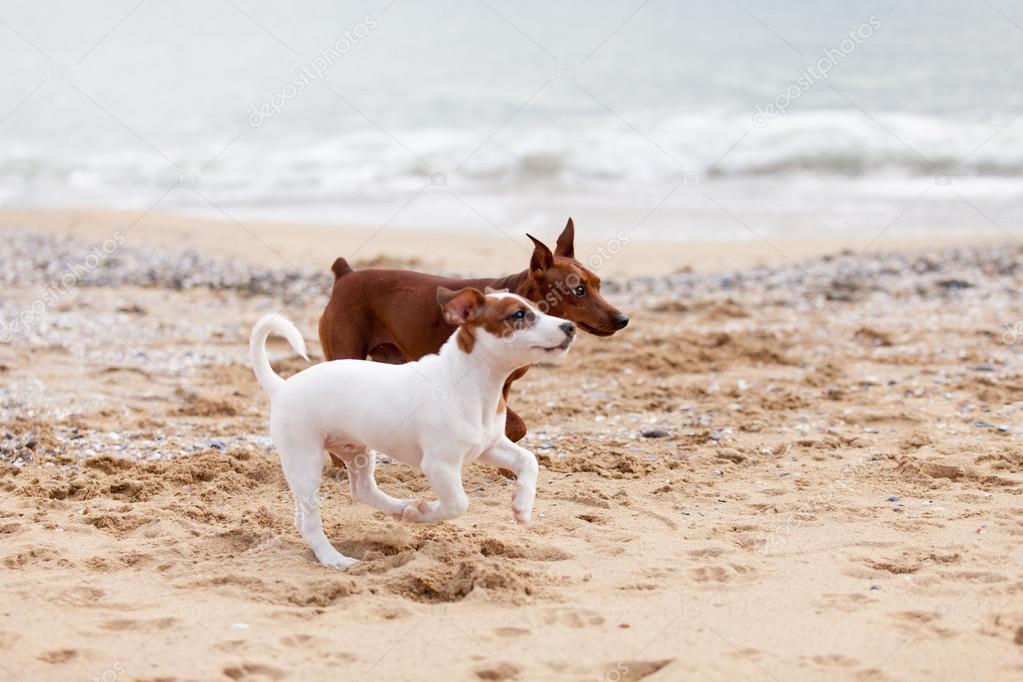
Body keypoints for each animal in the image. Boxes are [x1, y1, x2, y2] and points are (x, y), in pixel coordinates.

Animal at [248, 288, 576, 572]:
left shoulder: (489, 446)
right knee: (310, 519)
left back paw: (399, 507)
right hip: (305, 461)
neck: (472, 382)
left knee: (360, 491)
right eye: (519, 315)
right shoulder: (440, 465)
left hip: (356, 450)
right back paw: (333, 558)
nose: (570, 326)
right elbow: (458, 503)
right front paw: (425, 513)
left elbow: (528, 461)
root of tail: (281, 387)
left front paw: (522, 505)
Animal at [315, 218, 626, 443]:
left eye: (599, 285)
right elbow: (517, 425)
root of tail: (345, 276)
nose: (623, 319)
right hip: (345, 353)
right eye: (579, 290)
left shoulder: (503, 385)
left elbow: (510, 426)